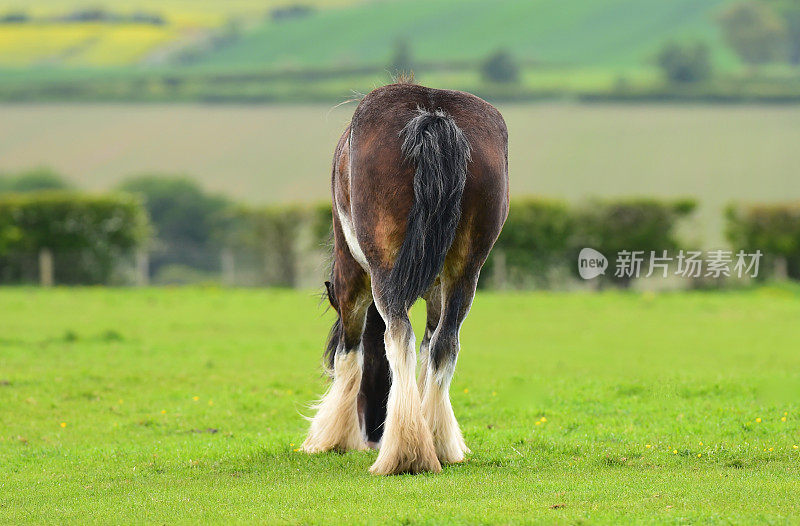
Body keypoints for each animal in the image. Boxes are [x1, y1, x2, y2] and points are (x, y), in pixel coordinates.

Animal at [300, 79, 506, 478]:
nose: (372, 432)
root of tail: (433, 114)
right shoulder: (438, 289)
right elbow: (430, 347)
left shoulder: (351, 276)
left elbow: (350, 353)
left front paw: (332, 437)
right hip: (465, 273)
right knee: (444, 345)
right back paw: (438, 445)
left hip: (380, 270)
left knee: (398, 337)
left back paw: (404, 453)